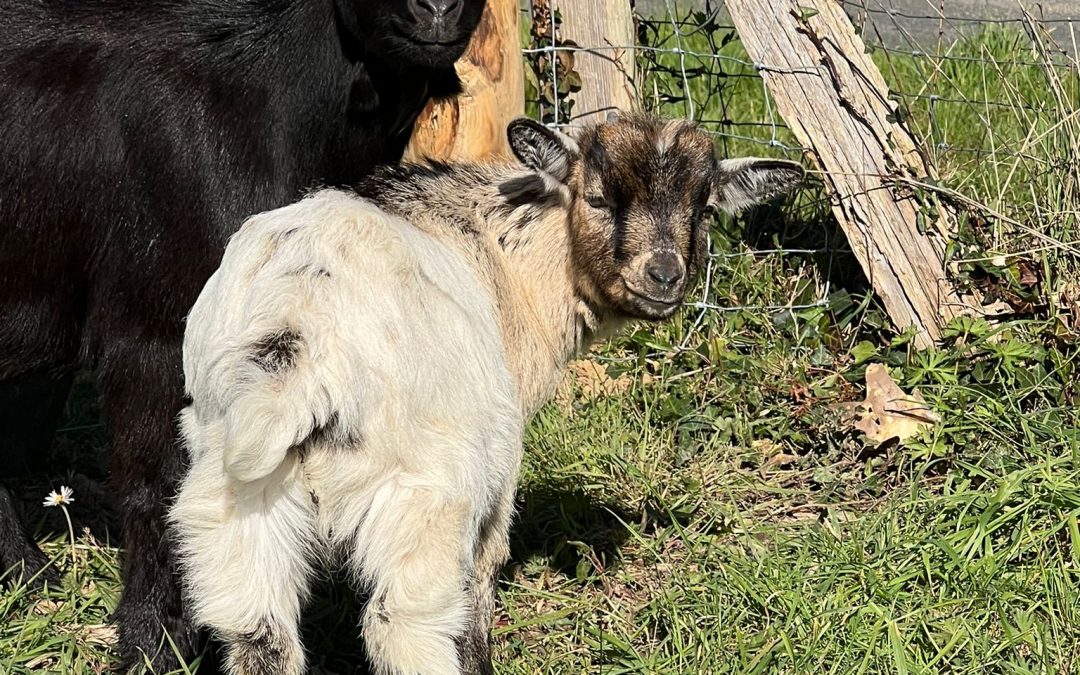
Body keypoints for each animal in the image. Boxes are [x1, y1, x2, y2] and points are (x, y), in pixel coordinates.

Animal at [168, 113, 804, 675]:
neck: (512, 259)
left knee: (258, 634)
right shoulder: (495, 484)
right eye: (599, 199)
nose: (665, 277)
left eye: (705, 209)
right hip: (426, 496)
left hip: (229, 501)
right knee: (408, 626)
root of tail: (299, 336)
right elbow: (482, 581)